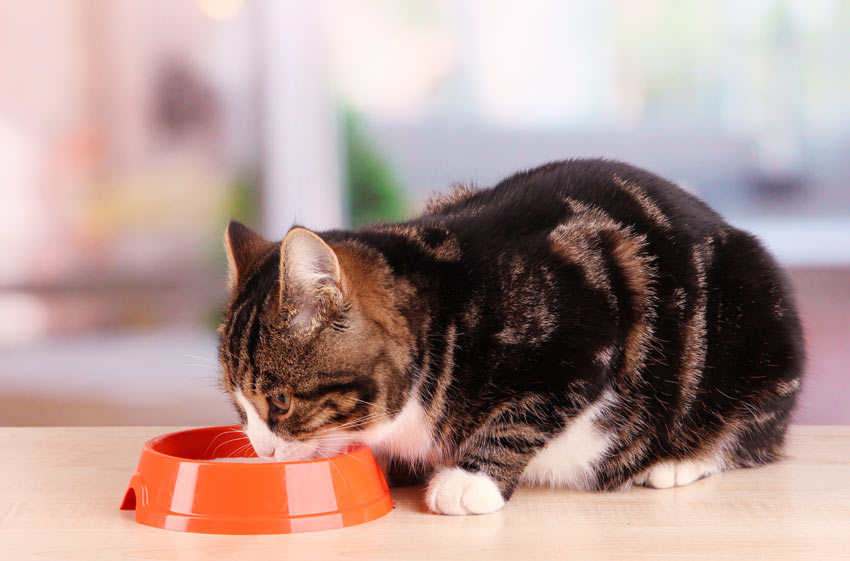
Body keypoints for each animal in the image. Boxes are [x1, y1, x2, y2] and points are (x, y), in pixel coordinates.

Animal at [217, 160, 800, 516]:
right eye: (238, 405)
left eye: (280, 401)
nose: (263, 451)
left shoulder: (587, 331)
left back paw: (680, 460)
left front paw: (470, 479)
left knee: (752, 434)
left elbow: (524, 413)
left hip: (753, 334)